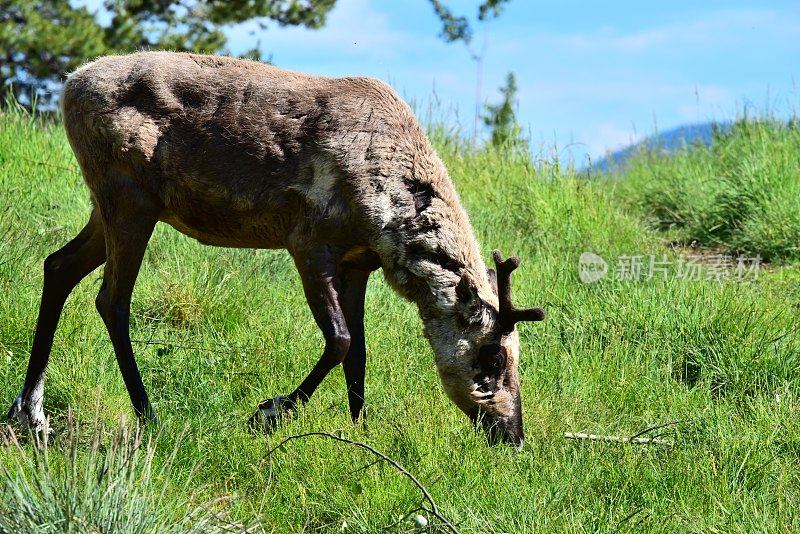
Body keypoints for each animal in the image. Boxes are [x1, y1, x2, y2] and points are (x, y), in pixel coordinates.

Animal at [7, 53, 544, 448]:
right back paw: (148, 414)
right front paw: (269, 413)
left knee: (58, 266)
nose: (513, 436)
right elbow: (340, 340)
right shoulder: (308, 241)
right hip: (129, 198)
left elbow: (359, 353)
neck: (387, 215)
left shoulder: (358, 263)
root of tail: (69, 86)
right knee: (111, 300)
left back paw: (30, 412)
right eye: (492, 358)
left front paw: (361, 433)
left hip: (109, 206)